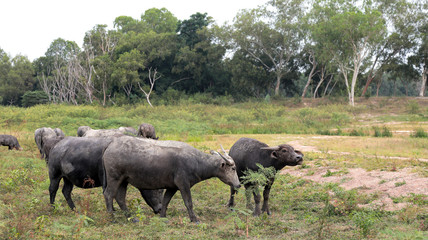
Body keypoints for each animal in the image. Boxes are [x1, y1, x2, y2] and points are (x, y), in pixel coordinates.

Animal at [101, 136, 239, 222]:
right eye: (233, 168)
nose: (238, 185)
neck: (196, 162)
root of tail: (109, 146)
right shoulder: (183, 184)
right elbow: (188, 202)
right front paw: (194, 219)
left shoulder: (172, 187)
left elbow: (165, 201)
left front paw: (163, 217)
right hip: (114, 177)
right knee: (108, 194)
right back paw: (112, 217)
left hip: (124, 180)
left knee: (120, 198)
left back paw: (131, 217)